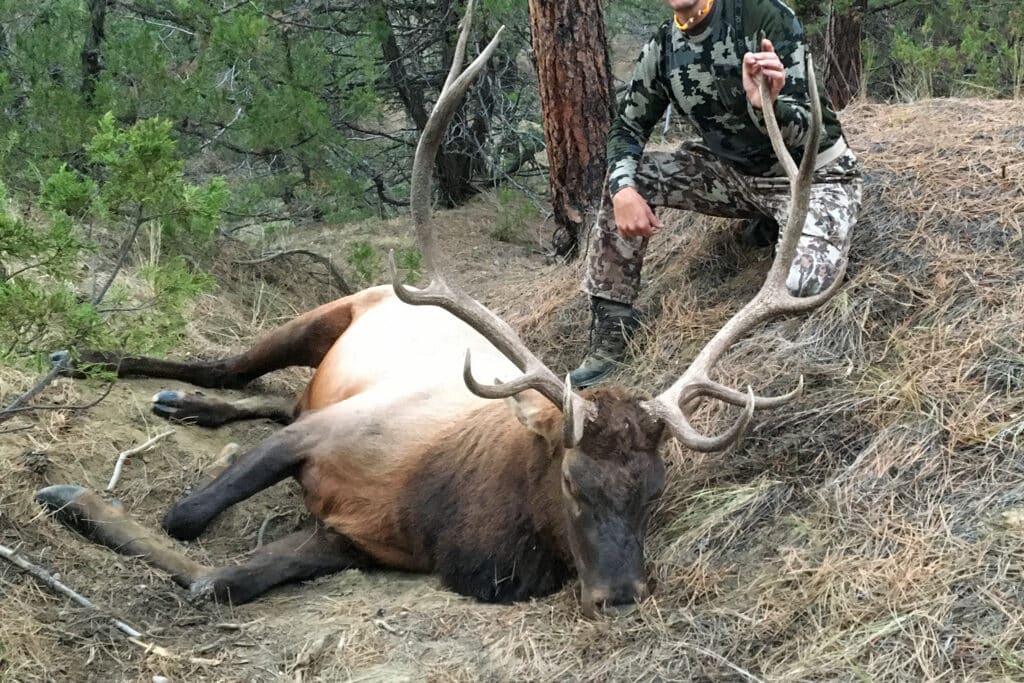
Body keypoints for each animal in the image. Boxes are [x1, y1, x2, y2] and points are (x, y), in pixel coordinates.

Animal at [34, 2, 838, 618]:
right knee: (230, 367)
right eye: (572, 481)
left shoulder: (353, 536)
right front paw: (65, 491)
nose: (620, 595)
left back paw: (184, 405)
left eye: (655, 490)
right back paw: (92, 361)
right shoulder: (326, 433)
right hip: (331, 310)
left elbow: (218, 580)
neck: (447, 520)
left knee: (271, 396)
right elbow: (186, 515)